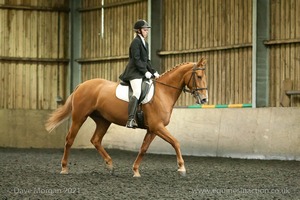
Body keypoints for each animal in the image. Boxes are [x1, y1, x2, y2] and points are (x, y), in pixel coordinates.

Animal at [45, 57, 209, 177]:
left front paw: (135, 170)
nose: (204, 100)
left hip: (103, 120)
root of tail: (81, 85)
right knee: (69, 140)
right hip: (79, 117)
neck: (163, 92)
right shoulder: (157, 126)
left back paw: (110, 165)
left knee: (96, 140)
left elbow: (143, 148)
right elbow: (176, 142)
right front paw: (182, 168)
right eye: (199, 76)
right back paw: (64, 168)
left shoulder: (152, 129)